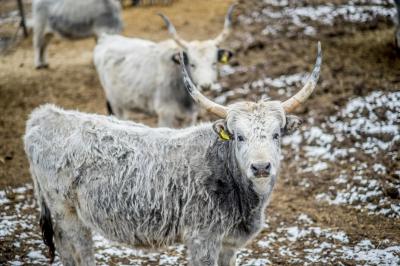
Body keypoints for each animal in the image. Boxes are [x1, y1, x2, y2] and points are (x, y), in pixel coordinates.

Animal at [24, 42, 322, 264]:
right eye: (239, 136)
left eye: (276, 134)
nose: (261, 167)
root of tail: (45, 115)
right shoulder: (203, 239)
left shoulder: (228, 244)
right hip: (66, 213)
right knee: (78, 251)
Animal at [93, 4, 238, 127]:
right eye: (192, 64)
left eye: (214, 63)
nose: (206, 85)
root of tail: (107, 38)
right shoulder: (165, 114)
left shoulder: (190, 117)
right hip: (116, 105)